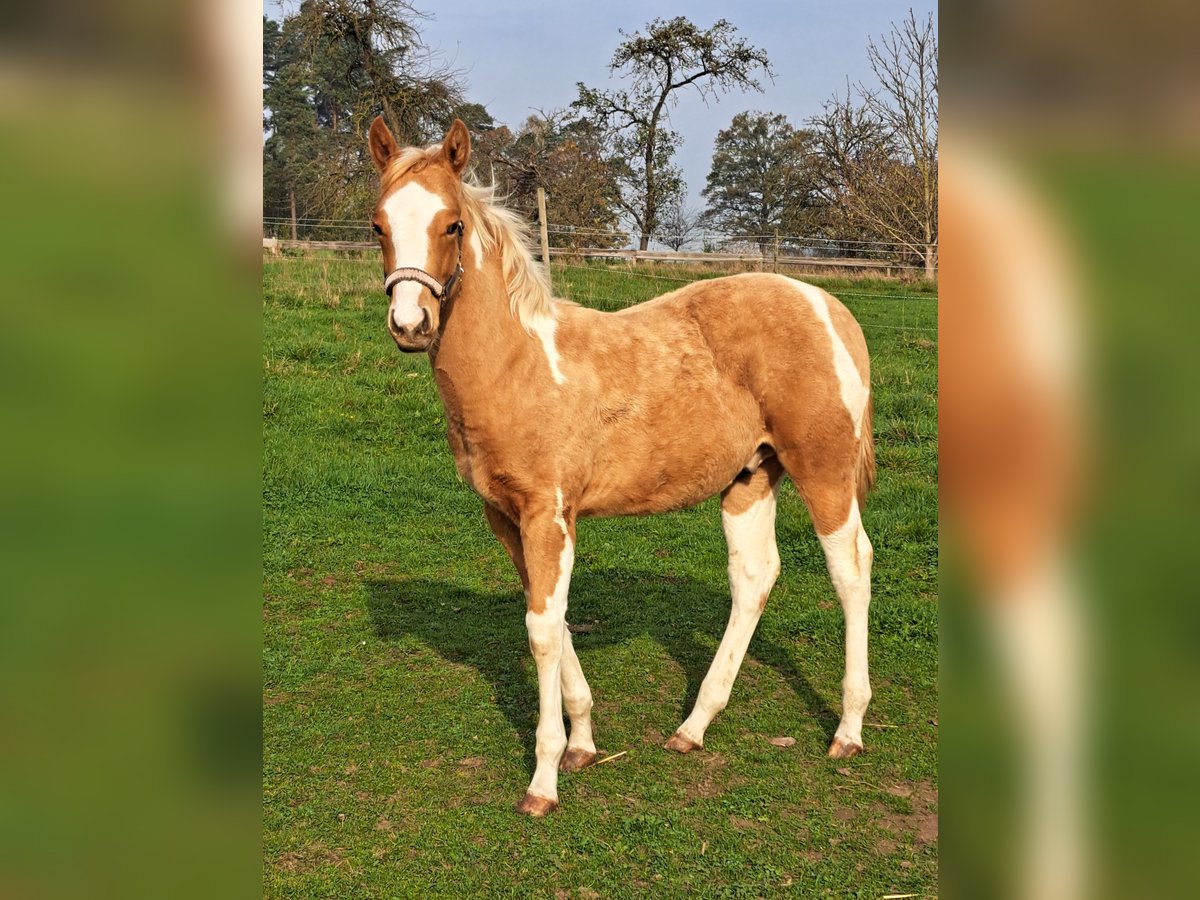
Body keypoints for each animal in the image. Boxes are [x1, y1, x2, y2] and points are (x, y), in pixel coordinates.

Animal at [362, 114, 873, 816]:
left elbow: (541, 630)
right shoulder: (508, 518)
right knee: (754, 577)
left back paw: (848, 730)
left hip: (823, 470)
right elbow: (550, 617)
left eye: (453, 225)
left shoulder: (548, 514)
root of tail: (830, 308)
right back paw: (692, 727)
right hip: (750, 476)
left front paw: (544, 779)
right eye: (378, 226)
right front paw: (581, 743)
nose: (410, 322)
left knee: (852, 571)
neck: (518, 365)